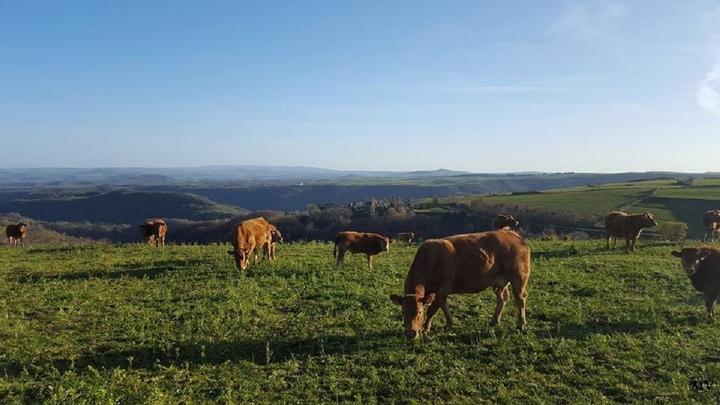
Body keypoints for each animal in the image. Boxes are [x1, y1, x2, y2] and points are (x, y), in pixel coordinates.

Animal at [390, 230, 531, 340]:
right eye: (402, 312)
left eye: (419, 312)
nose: (410, 334)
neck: (429, 260)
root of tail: (512, 234)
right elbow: (441, 307)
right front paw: (440, 325)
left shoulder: (442, 290)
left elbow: (433, 310)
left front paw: (430, 327)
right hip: (499, 283)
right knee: (502, 298)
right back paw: (494, 321)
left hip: (519, 277)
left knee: (520, 299)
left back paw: (521, 324)